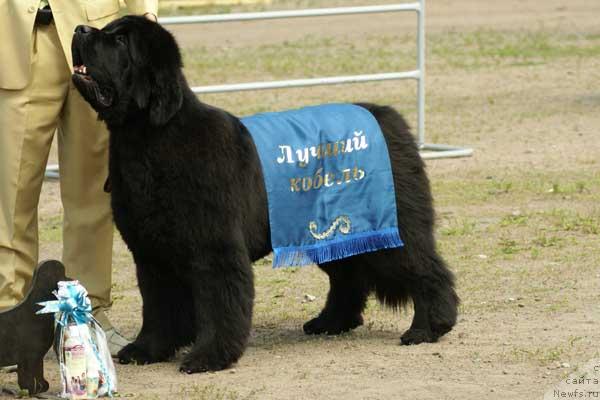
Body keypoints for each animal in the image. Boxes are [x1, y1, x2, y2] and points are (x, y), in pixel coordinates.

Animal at [72, 14, 460, 372]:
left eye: (121, 40)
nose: (79, 29)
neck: (151, 139)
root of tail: (389, 118)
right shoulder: (152, 254)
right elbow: (159, 308)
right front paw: (147, 350)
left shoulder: (215, 249)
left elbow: (220, 305)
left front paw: (208, 357)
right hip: (327, 231)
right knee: (348, 276)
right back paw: (330, 322)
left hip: (390, 227)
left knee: (426, 269)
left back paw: (428, 328)